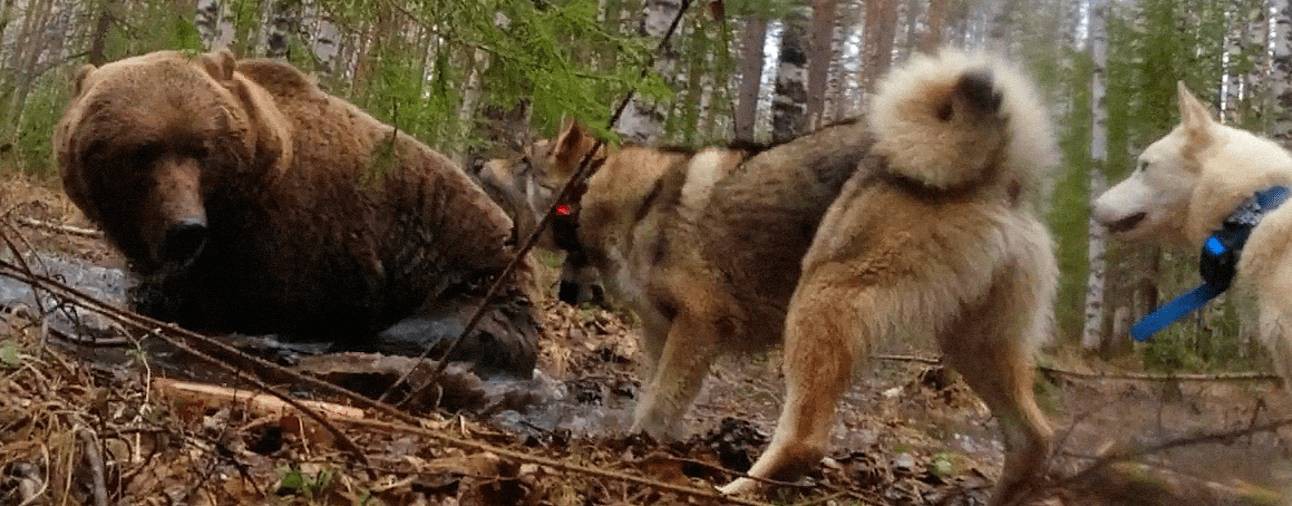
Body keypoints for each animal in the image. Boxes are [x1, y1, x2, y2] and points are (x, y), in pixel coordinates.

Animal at [52, 50, 537, 374]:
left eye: (202, 149)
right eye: (143, 151)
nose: (186, 229)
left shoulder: (298, 236)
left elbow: (251, 300)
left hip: (478, 280)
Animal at [728, 48, 1059, 506]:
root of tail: (992, 178)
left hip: (821, 299)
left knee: (803, 440)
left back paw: (735, 487)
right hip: (976, 343)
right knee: (1034, 439)